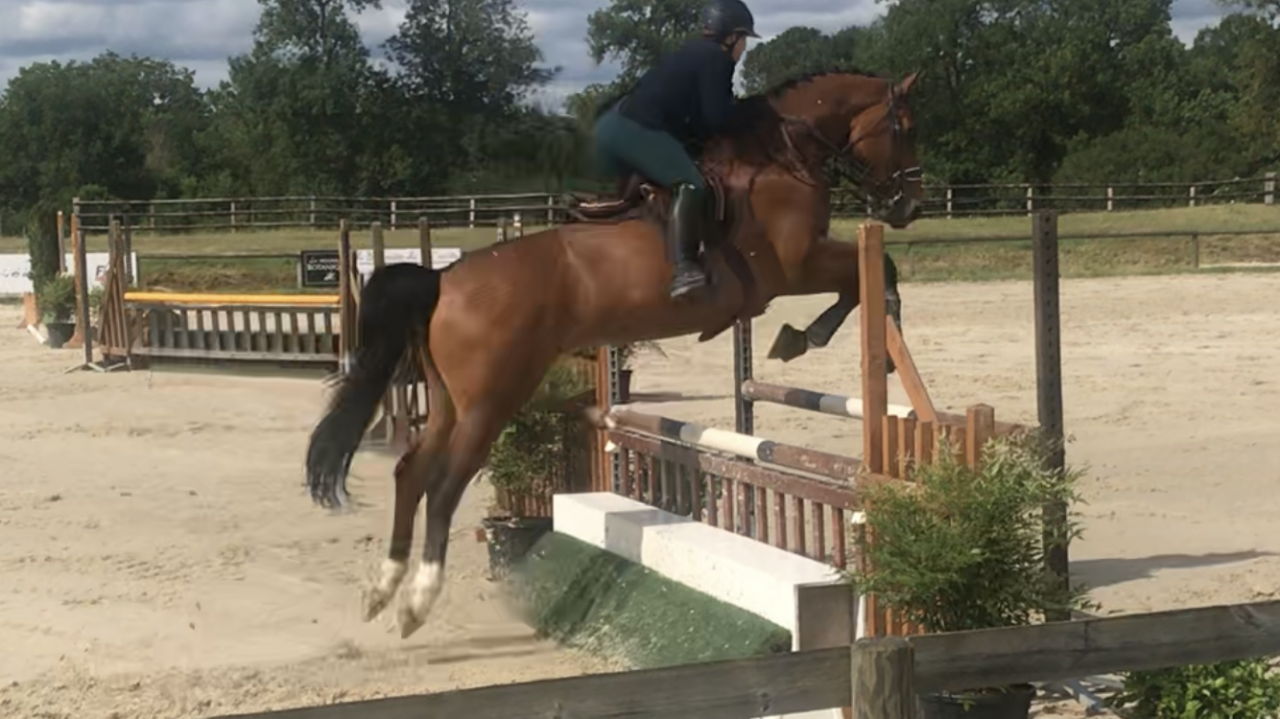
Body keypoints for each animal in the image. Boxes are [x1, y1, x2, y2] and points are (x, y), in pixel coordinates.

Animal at [305, 69, 925, 638]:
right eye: (905, 126)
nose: (910, 206)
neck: (781, 159)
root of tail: (442, 279)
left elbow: (866, 278)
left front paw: (810, 336)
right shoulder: (796, 267)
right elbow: (873, 269)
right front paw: (810, 336)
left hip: (450, 400)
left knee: (411, 473)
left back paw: (383, 588)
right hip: (490, 402)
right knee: (442, 488)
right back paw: (416, 601)